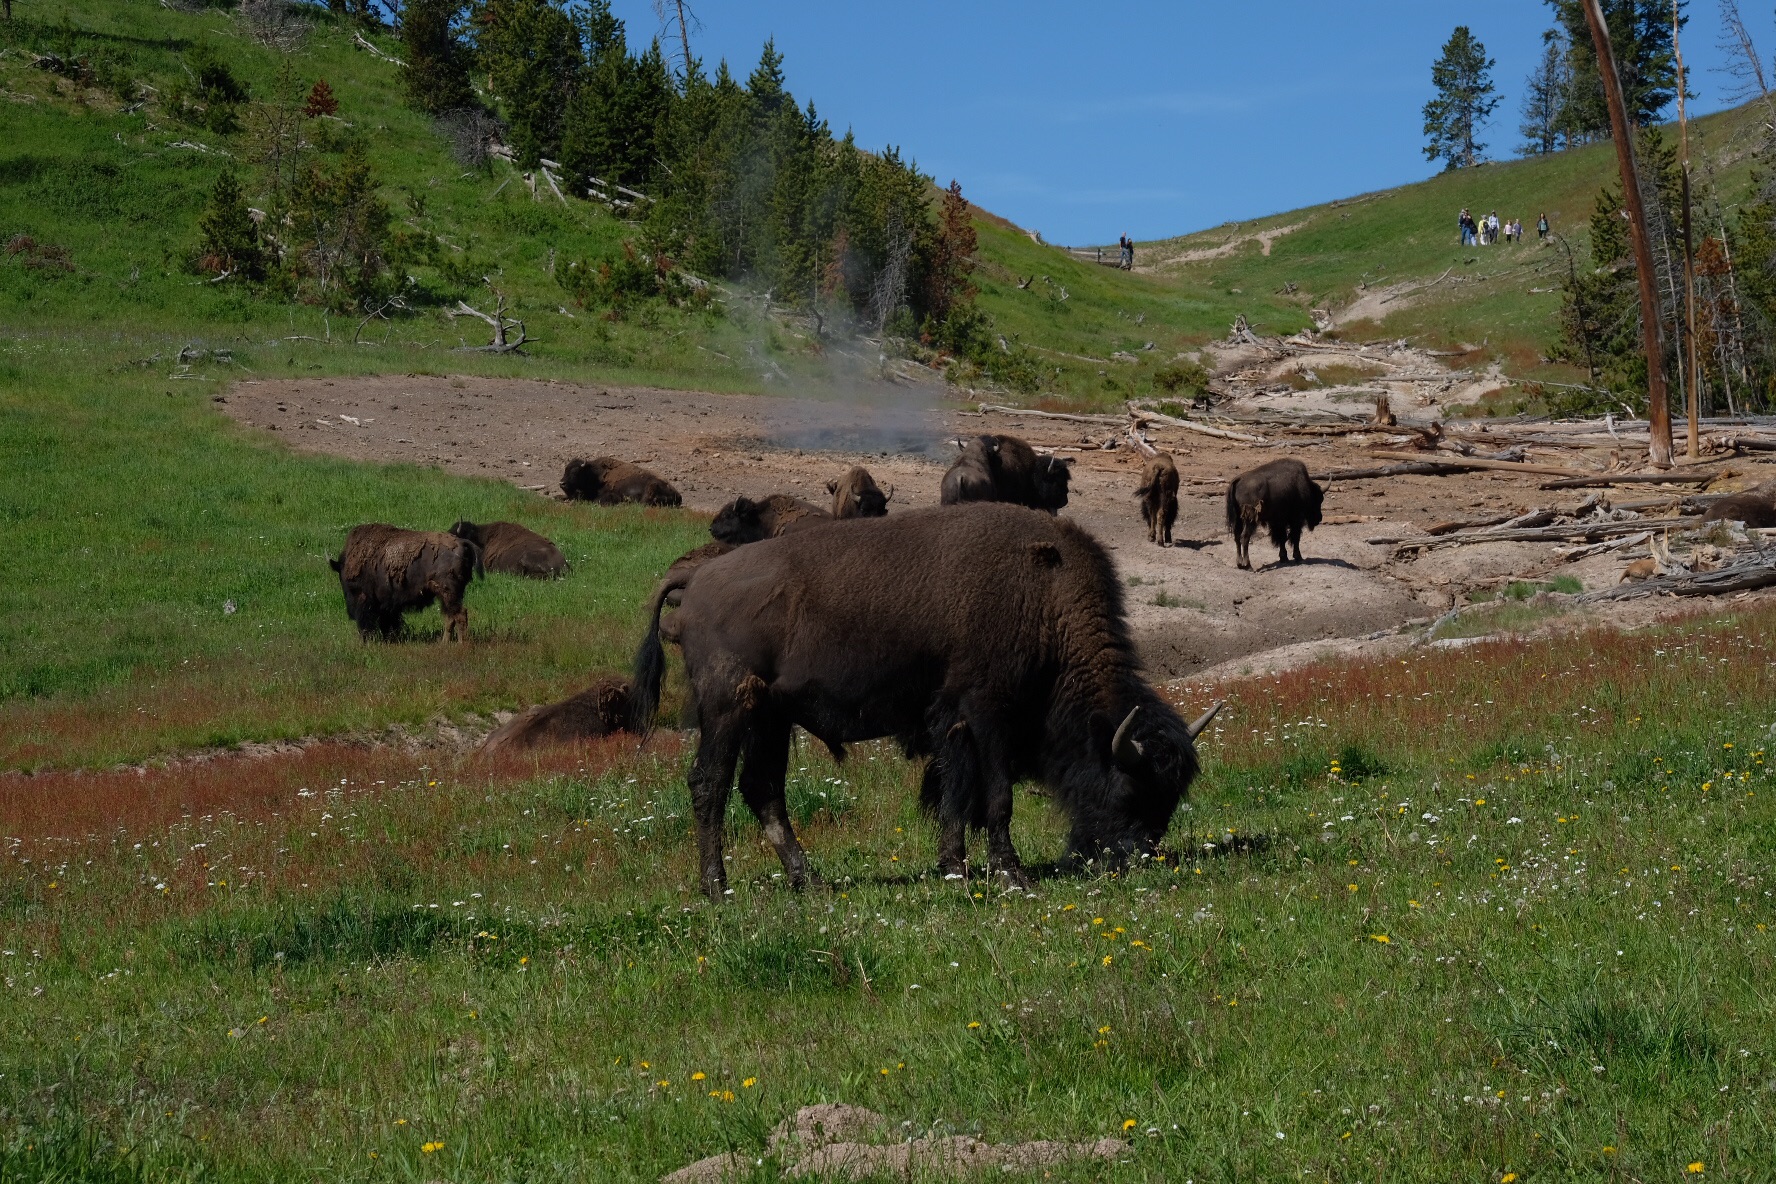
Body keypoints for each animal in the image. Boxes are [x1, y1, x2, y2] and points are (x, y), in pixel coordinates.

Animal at [330, 525, 483, 642]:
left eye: (344, 582)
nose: (350, 613)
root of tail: (462, 542)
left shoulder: (366, 600)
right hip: (448, 596)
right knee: (451, 617)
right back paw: (445, 643)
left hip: (448, 593)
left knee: (460, 615)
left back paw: (461, 643)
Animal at [632, 500, 1228, 898]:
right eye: (1130, 786)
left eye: (1172, 795)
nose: (1135, 857)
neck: (1045, 604)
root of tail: (696, 577)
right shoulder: (986, 716)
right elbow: (995, 799)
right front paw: (1011, 875)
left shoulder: (953, 727)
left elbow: (957, 799)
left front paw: (955, 867)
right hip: (728, 708)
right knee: (710, 784)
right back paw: (717, 888)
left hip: (771, 719)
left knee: (763, 791)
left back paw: (812, 881)